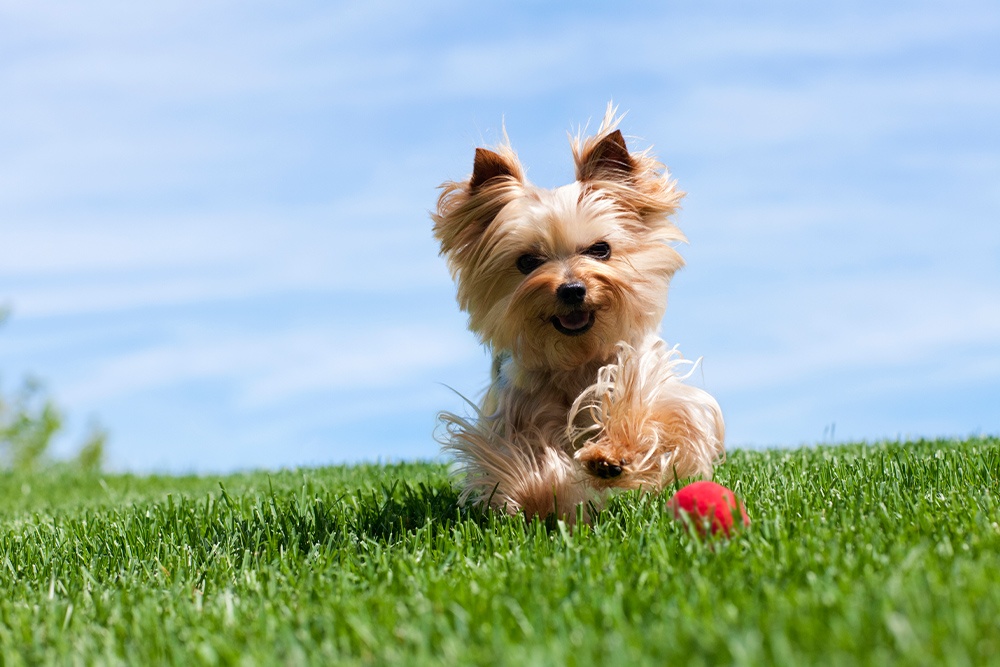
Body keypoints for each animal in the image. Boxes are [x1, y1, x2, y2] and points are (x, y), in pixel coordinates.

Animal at [434, 105, 724, 520]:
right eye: (527, 262)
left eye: (600, 249)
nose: (572, 289)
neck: (576, 356)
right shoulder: (515, 412)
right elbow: (521, 460)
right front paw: (545, 492)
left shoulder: (649, 379)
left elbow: (657, 414)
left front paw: (611, 456)